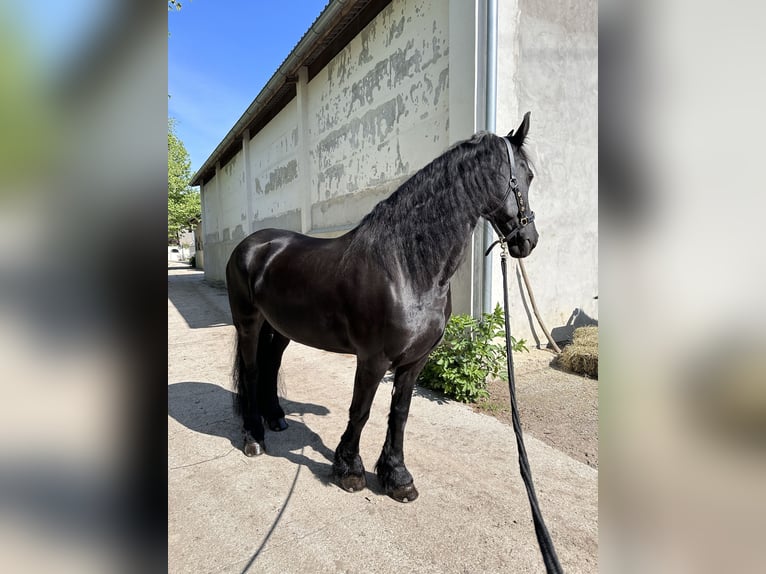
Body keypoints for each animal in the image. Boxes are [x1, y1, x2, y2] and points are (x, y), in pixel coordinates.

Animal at [228, 112, 540, 504]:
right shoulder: (373, 359)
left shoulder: (415, 360)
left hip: (280, 328)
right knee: (253, 371)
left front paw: (397, 476)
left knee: (271, 366)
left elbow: (399, 413)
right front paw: (349, 470)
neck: (406, 267)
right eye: (524, 175)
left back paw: (276, 419)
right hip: (248, 323)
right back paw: (254, 437)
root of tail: (252, 245)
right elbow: (360, 411)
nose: (527, 241)